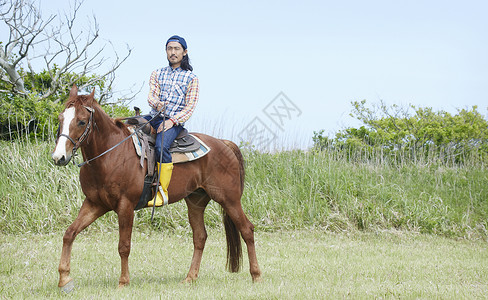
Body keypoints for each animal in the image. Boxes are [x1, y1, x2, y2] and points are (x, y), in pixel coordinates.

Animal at [51, 85, 262, 290]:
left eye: (81, 121)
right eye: (61, 118)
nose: (59, 157)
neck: (111, 156)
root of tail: (223, 144)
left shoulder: (125, 206)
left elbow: (124, 246)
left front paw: (123, 282)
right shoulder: (95, 204)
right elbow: (69, 234)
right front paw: (64, 279)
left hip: (229, 199)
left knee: (247, 230)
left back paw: (256, 275)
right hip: (196, 201)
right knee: (200, 237)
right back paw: (190, 278)